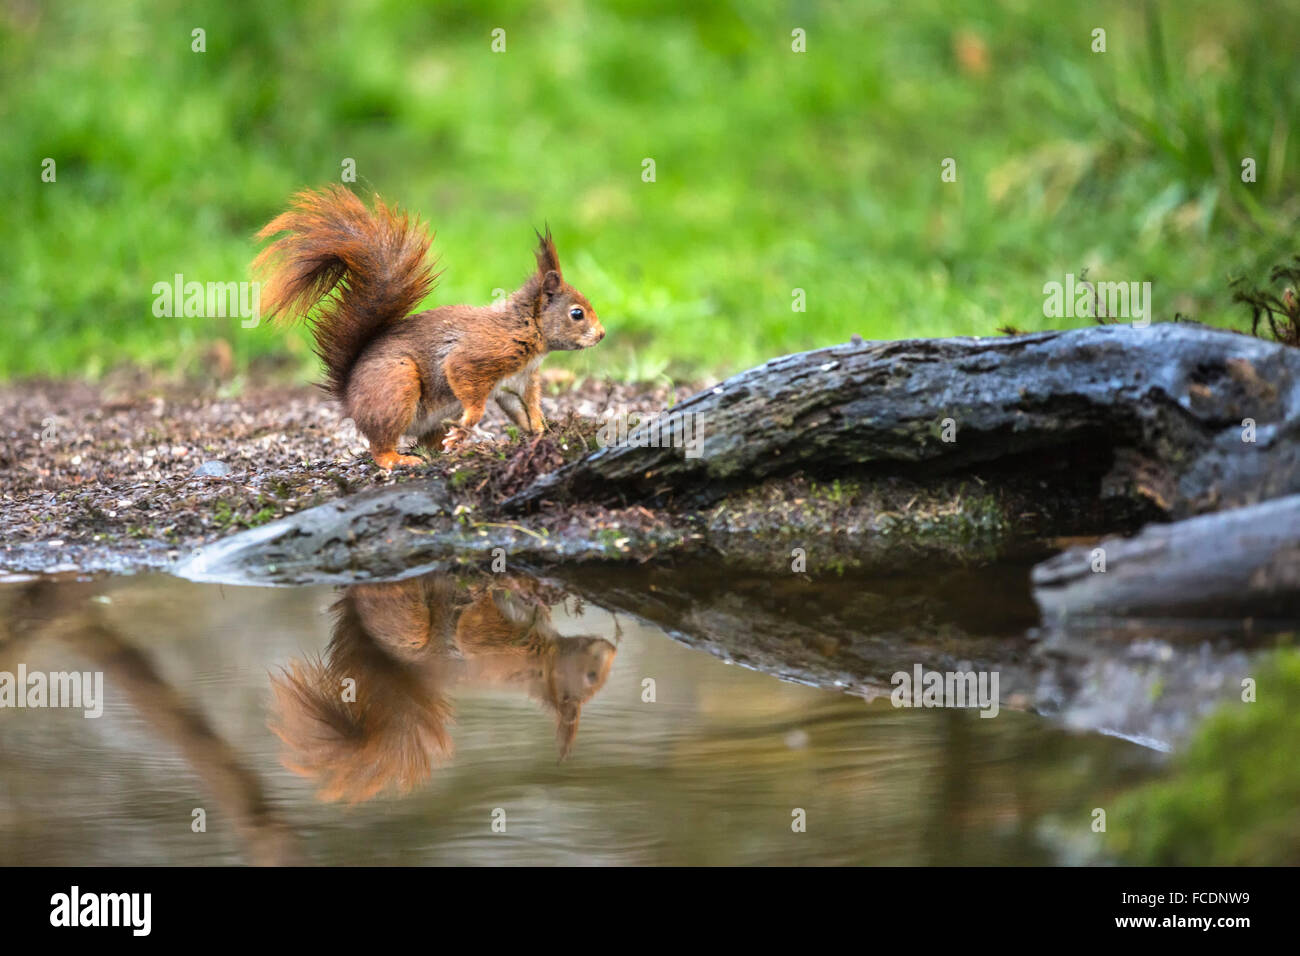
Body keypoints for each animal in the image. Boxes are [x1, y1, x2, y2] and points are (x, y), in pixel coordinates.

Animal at [250, 184, 605, 468]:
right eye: (577, 314)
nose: (601, 335)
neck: (526, 329)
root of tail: (349, 398)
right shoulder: (479, 356)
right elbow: (469, 388)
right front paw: (474, 419)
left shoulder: (517, 382)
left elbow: (525, 409)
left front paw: (542, 431)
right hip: (397, 386)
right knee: (381, 446)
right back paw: (400, 458)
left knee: (426, 442)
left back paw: (457, 446)